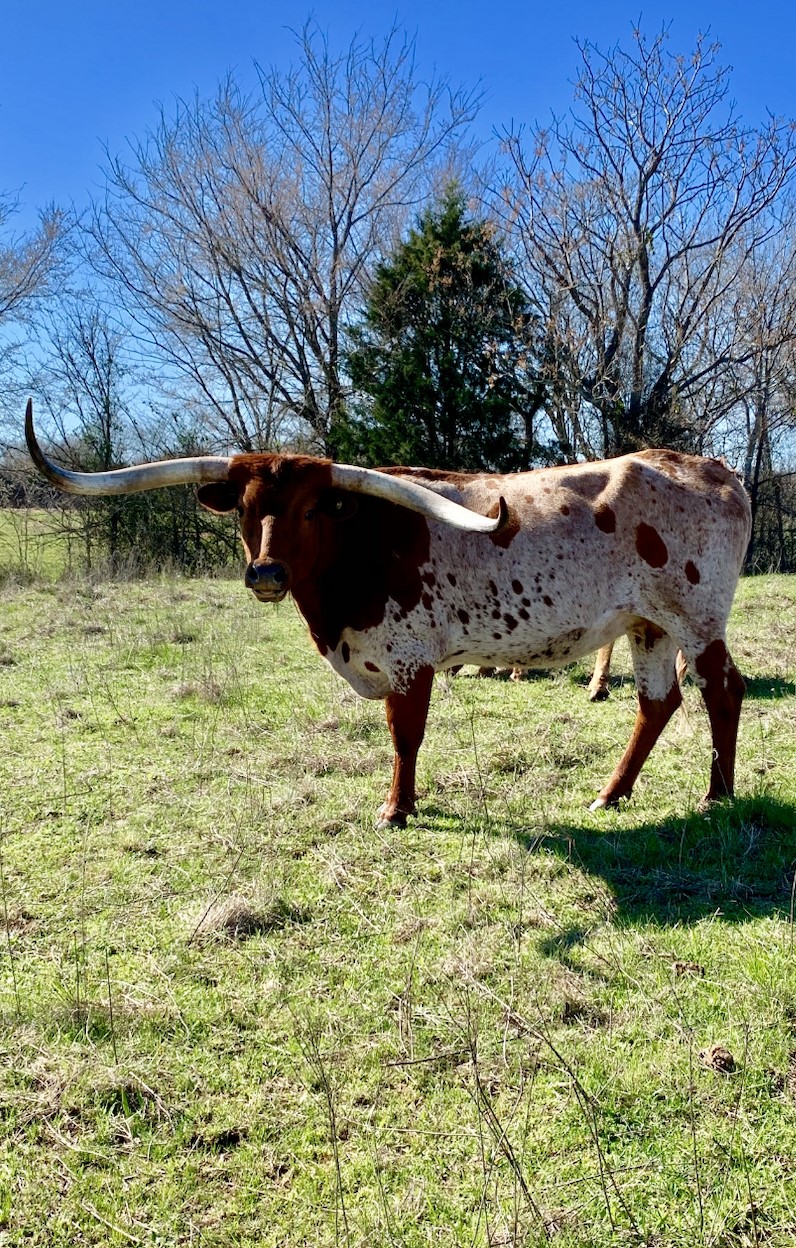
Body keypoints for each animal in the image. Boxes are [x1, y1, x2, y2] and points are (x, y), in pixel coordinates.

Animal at [25, 400, 751, 827]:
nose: (266, 574)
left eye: (312, 508)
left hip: (696, 617)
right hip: (647, 624)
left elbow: (405, 736)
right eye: (244, 507)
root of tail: (711, 466)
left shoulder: (409, 658)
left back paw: (716, 794)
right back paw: (612, 792)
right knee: (658, 702)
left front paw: (397, 809)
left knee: (723, 689)